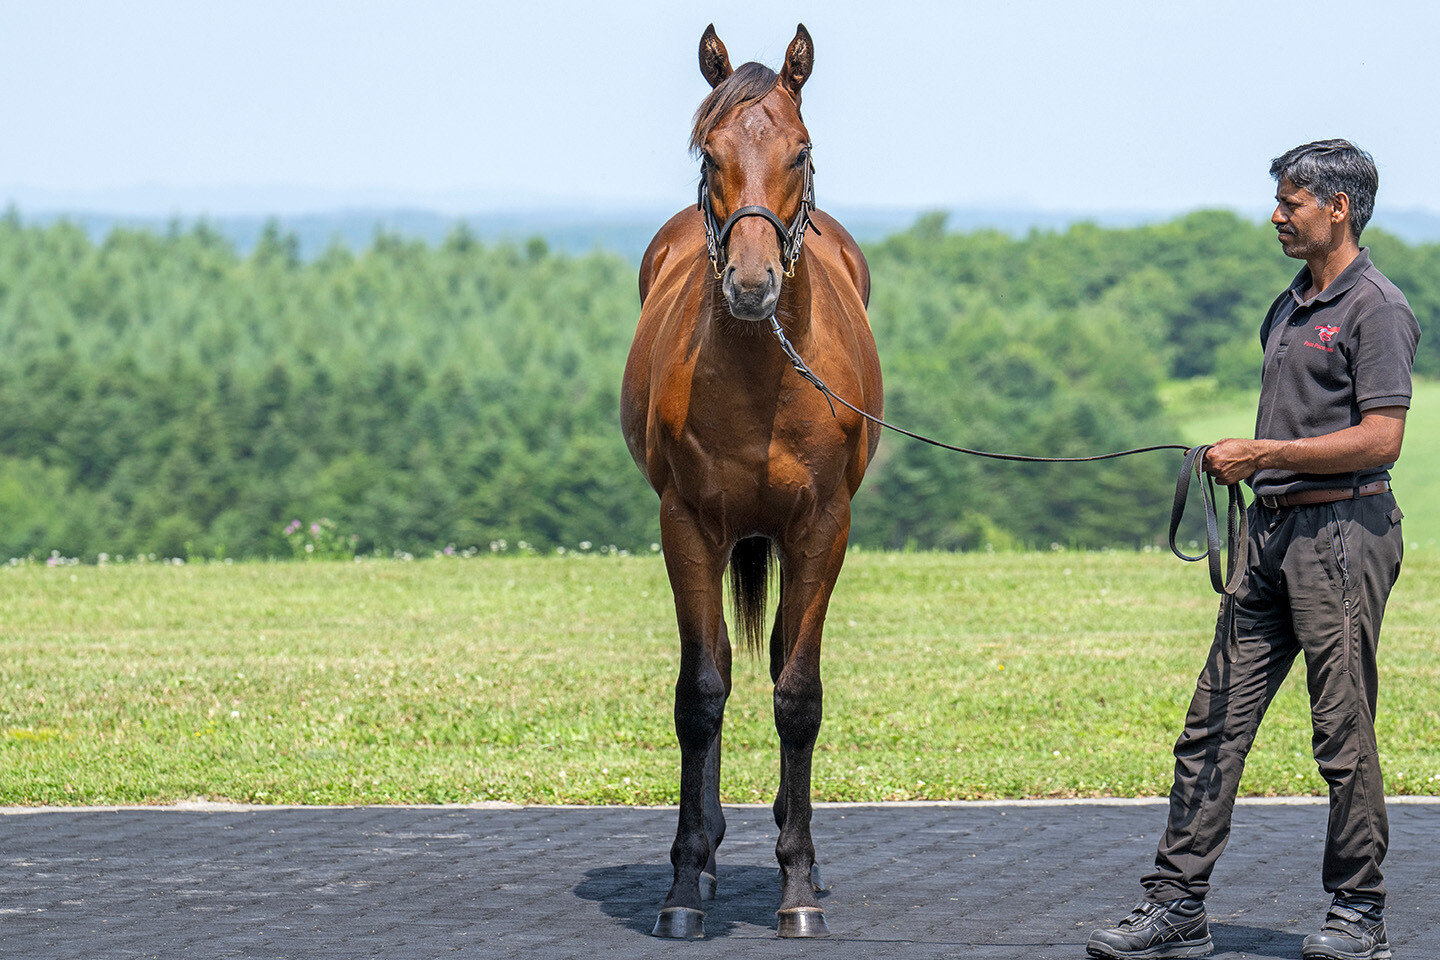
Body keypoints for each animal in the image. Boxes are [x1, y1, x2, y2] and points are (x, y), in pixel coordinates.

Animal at [616, 20, 875, 938]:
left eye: (801, 151)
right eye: (710, 150)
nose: (753, 284)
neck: (765, 374)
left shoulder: (823, 528)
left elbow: (797, 694)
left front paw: (797, 886)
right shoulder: (687, 524)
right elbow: (701, 692)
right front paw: (684, 885)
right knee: (723, 668)